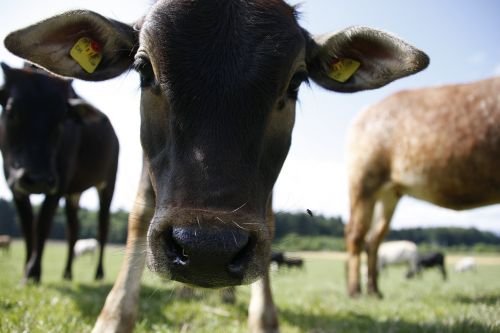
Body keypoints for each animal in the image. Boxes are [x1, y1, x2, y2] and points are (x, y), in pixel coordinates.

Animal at [0, 63, 118, 282]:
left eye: (62, 119)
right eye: (11, 110)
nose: (38, 179)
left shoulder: (58, 183)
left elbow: (43, 225)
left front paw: (33, 272)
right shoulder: (14, 186)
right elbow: (27, 226)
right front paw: (26, 271)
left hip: (107, 184)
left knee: (103, 226)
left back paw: (98, 273)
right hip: (74, 193)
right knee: (73, 229)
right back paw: (67, 273)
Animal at [344, 76, 500, 296]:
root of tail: (364, 112)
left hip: (388, 193)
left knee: (373, 239)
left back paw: (374, 291)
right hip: (363, 181)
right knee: (356, 235)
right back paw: (355, 291)